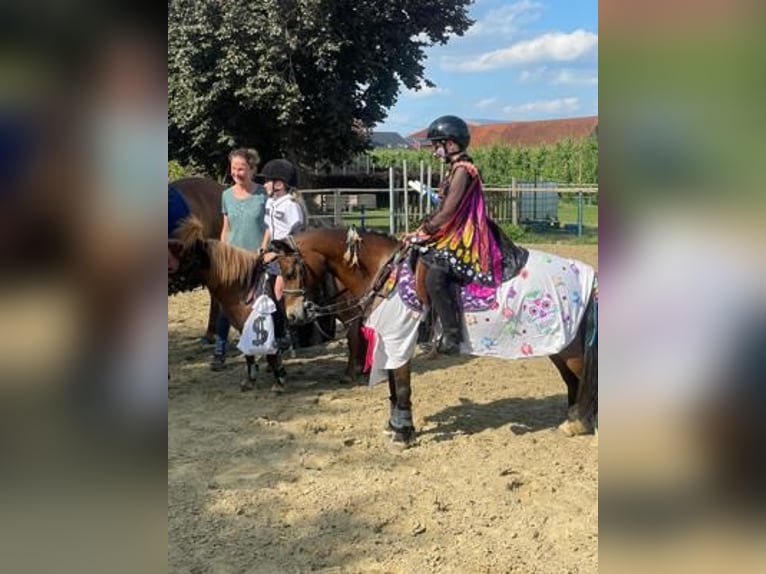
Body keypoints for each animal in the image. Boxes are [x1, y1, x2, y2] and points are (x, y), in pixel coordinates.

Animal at [270, 227, 598, 445]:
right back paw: (575, 420)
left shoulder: (400, 337)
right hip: (559, 345)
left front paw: (403, 434)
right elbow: (393, 387)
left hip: (567, 347)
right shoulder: (390, 342)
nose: (293, 316)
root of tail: (585, 273)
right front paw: (396, 426)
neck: (385, 273)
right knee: (575, 381)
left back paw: (582, 423)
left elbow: (402, 386)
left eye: (290, 271)